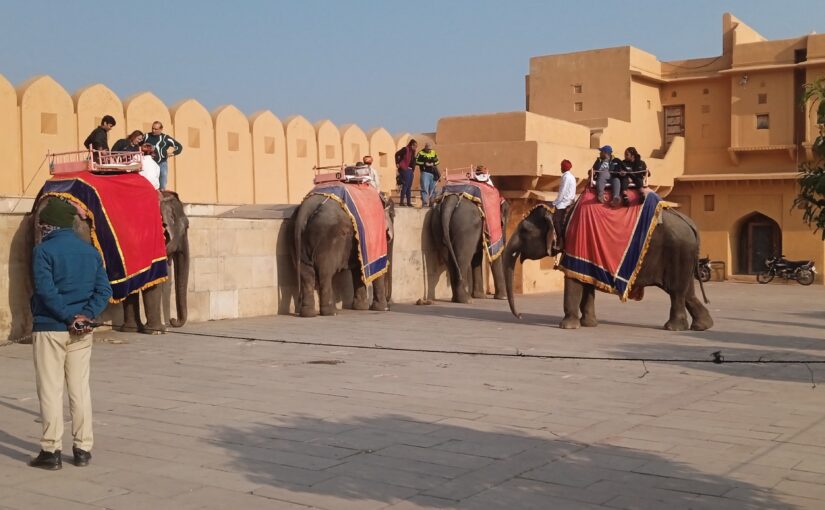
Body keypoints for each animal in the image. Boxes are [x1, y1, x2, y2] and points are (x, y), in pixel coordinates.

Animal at [32, 191, 190, 334]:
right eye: (187, 226)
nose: (173, 321)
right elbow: (153, 282)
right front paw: (157, 331)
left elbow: (132, 283)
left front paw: (130, 330)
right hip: (80, 234)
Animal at [502, 203, 716, 330]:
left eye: (524, 230)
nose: (520, 316)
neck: (563, 212)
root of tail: (691, 224)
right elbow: (585, 282)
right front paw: (588, 324)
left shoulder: (577, 243)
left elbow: (572, 279)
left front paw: (567, 326)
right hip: (685, 256)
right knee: (687, 292)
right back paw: (703, 326)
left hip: (678, 252)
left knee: (677, 292)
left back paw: (673, 327)